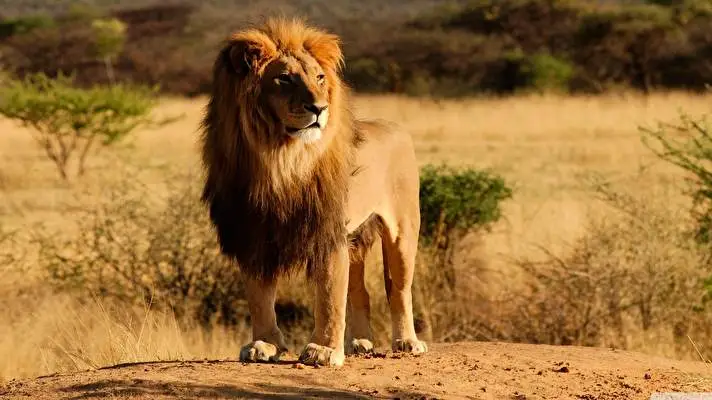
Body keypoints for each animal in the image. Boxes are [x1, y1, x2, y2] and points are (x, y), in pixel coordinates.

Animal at [199, 17, 427, 367]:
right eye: (284, 78)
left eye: (319, 78)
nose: (319, 108)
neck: (279, 159)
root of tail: (395, 126)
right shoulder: (254, 233)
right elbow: (259, 296)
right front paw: (264, 344)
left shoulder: (327, 232)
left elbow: (330, 296)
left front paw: (323, 350)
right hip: (355, 238)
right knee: (360, 292)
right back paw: (360, 343)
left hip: (402, 231)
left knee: (399, 289)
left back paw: (407, 342)